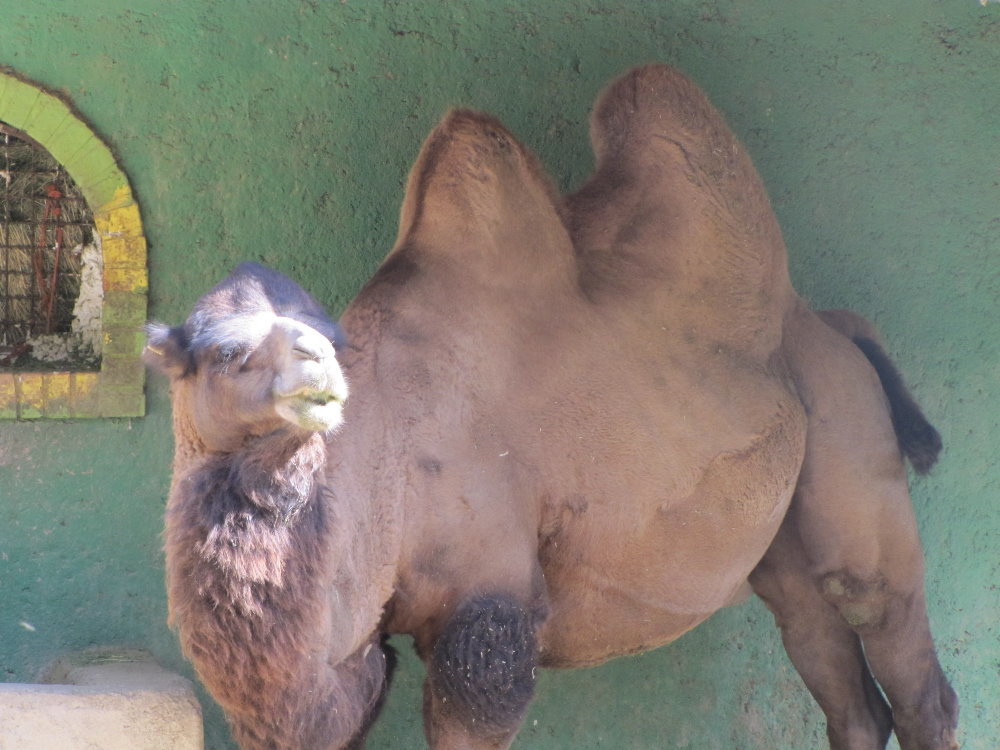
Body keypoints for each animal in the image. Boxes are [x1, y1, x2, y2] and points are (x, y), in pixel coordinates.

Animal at [144, 65, 958, 750]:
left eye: (318, 335)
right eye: (222, 352)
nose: (316, 373)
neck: (387, 459)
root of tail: (835, 330)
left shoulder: (488, 619)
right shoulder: (353, 659)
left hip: (852, 452)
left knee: (906, 662)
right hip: (781, 542)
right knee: (844, 683)